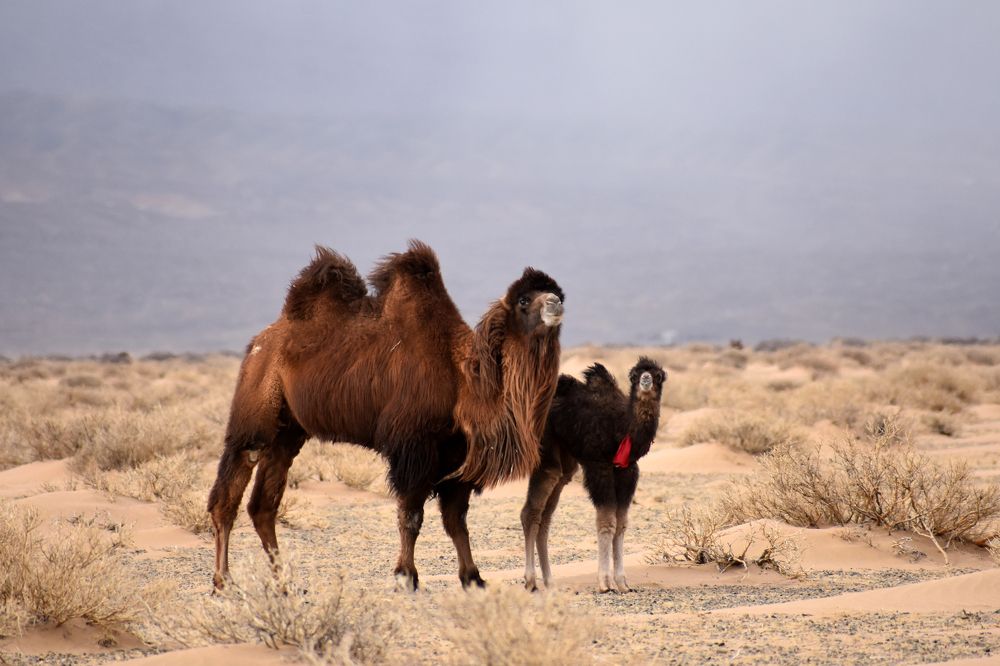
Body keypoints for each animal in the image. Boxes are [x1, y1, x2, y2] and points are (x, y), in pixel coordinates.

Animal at [207, 240, 564, 591]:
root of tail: (262, 339)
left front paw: (472, 577)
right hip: (257, 402)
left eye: (558, 291)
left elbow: (456, 521)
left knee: (263, 504)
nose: (555, 303)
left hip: (289, 430)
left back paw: (284, 583)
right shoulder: (413, 449)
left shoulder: (457, 460)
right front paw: (406, 576)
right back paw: (224, 582)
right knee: (232, 485)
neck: (465, 380)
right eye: (523, 300)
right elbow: (411, 517)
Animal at [521, 357, 665, 592]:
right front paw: (605, 583)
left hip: (566, 461)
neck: (621, 428)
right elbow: (606, 521)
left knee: (547, 514)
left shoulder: (628, 470)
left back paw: (550, 581)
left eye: (658, 375)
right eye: (634, 375)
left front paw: (622, 582)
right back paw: (531, 581)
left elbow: (621, 523)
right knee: (532, 509)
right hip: (545, 448)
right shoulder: (599, 466)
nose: (645, 380)